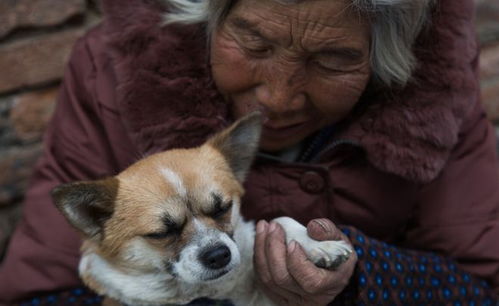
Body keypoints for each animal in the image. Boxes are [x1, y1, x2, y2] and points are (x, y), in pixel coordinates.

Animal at [52, 113, 354, 306]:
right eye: (161, 233)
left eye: (223, 208)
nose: (218, 255)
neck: (202, 291)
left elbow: (279, 220)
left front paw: (317, 244)